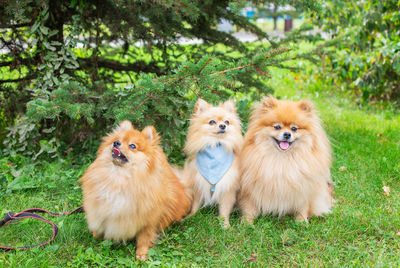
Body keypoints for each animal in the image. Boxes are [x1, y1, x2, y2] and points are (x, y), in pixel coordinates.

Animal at [80, 121, 191, 260]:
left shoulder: (149, 220)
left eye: (132, 146)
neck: (119, 178)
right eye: (117, 140)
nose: (116, 143)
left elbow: (144, 238)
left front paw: (141, 254)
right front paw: (95, 234)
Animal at [181, 98, 244, 228]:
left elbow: (224, 209)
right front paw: (190, 216)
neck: (216, 146)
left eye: (227, 122)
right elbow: (195, 204)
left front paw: (225, 226)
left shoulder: (228, 187)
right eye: (212, 122)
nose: (223, 125)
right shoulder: (199, 183)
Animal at [238, 96, 334, 224]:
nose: (287, 134)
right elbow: (249, 208)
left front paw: (302, 222)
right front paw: (246, 223)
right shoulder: (251, 189)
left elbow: (303, 207)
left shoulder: (304, 188)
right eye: (277, 127)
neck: (283, 160)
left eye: (294, 128)